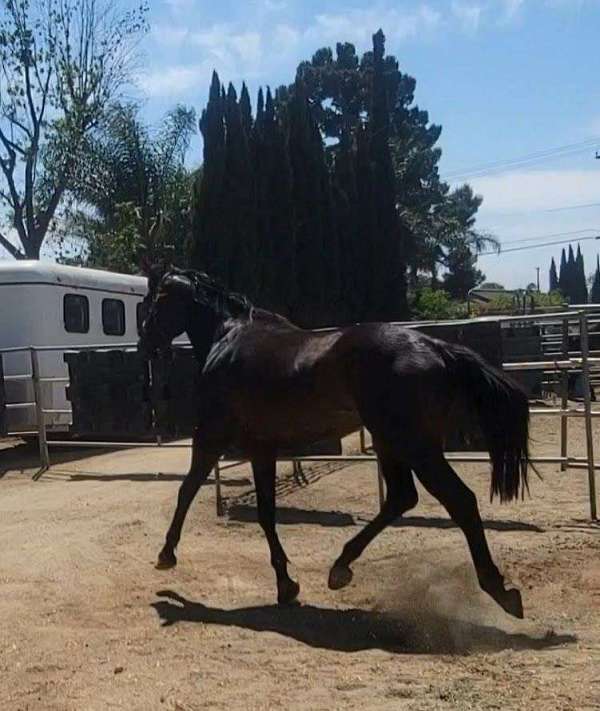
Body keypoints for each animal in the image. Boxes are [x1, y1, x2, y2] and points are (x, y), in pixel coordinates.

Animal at [138, 266, 532, 619]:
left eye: (152, 301)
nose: (145, 343)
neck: (229, 338)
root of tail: (436, 347)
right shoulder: (262, 448)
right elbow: (266, 512)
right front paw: (286, 585)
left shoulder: (210, 437)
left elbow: (187, 490)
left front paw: (165, 555)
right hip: (391, 442)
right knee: (402, 497)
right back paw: (341, 568)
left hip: (413, 445)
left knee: (458, 500)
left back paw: (499, 590)